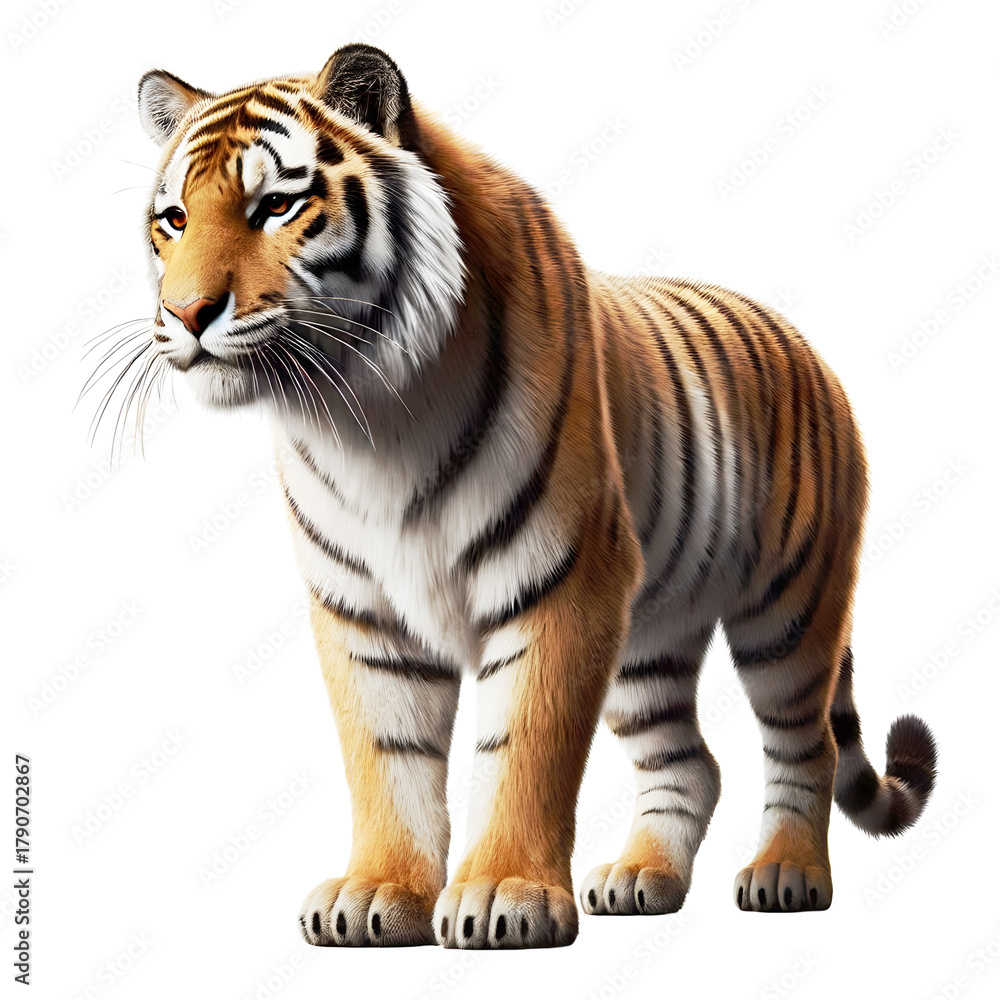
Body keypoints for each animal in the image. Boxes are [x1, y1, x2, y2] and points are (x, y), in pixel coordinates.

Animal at [127, 43, 937, 949]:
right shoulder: (361, 609)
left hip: (789, 610)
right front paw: (376, 893)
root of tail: (807, 347)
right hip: (651, 637)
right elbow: (385, 757)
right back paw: (641, 878)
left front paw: (501, 894)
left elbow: (524, 749)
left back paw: (786, 875)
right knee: (690, 762)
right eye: (173, 220)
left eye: (275, 205)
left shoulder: (561, 580)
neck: (365, 413)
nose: (184, 313)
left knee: (807, 746)